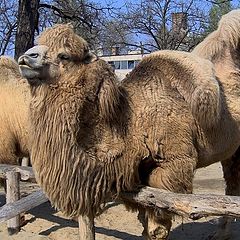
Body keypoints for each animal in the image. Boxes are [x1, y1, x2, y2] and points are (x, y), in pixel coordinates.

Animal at [18, 9, 240, 240]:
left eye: (64, 56)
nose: (26, 57)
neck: (131, 123)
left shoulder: (173, 163)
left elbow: (157, 227)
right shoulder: (135, 173)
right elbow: (144, 220)